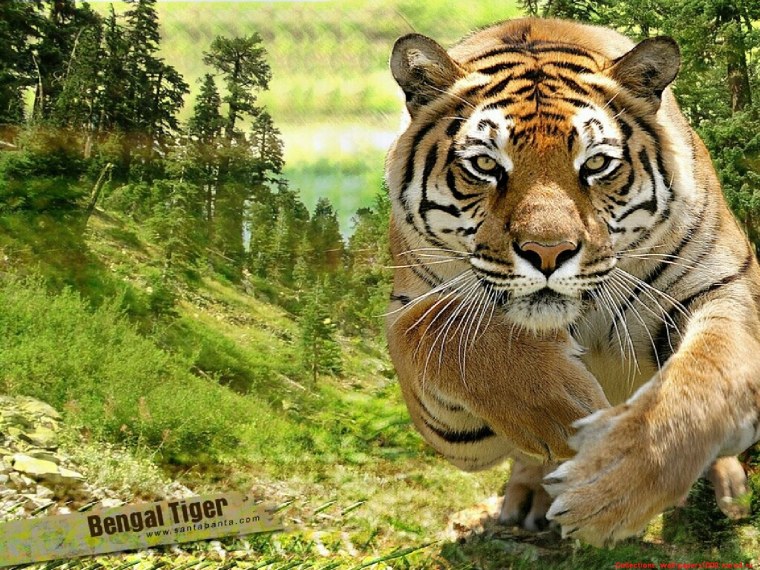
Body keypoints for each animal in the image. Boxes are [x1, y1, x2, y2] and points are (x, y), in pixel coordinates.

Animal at [384, 17, 760, 546]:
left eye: (596, 164)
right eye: (485, 165)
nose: (548, 252)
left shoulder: (726, 286)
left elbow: (703, 382)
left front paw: (607, 488)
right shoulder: (423, 346)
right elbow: (439, 328)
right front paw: (568, 413)